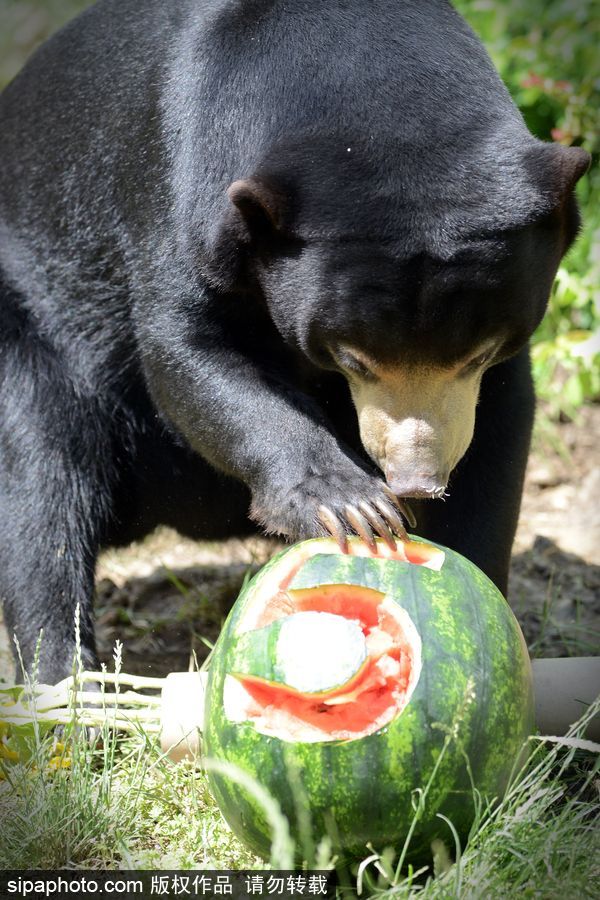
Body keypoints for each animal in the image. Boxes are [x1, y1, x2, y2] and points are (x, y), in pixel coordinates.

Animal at [0, 0, 592, 680]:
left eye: (480, 350)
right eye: (353, 356)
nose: (415, 480)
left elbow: (495, 444)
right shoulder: (181, 188)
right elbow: (190, 352)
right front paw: (353, 507)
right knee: (42, 486)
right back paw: (67, 678)